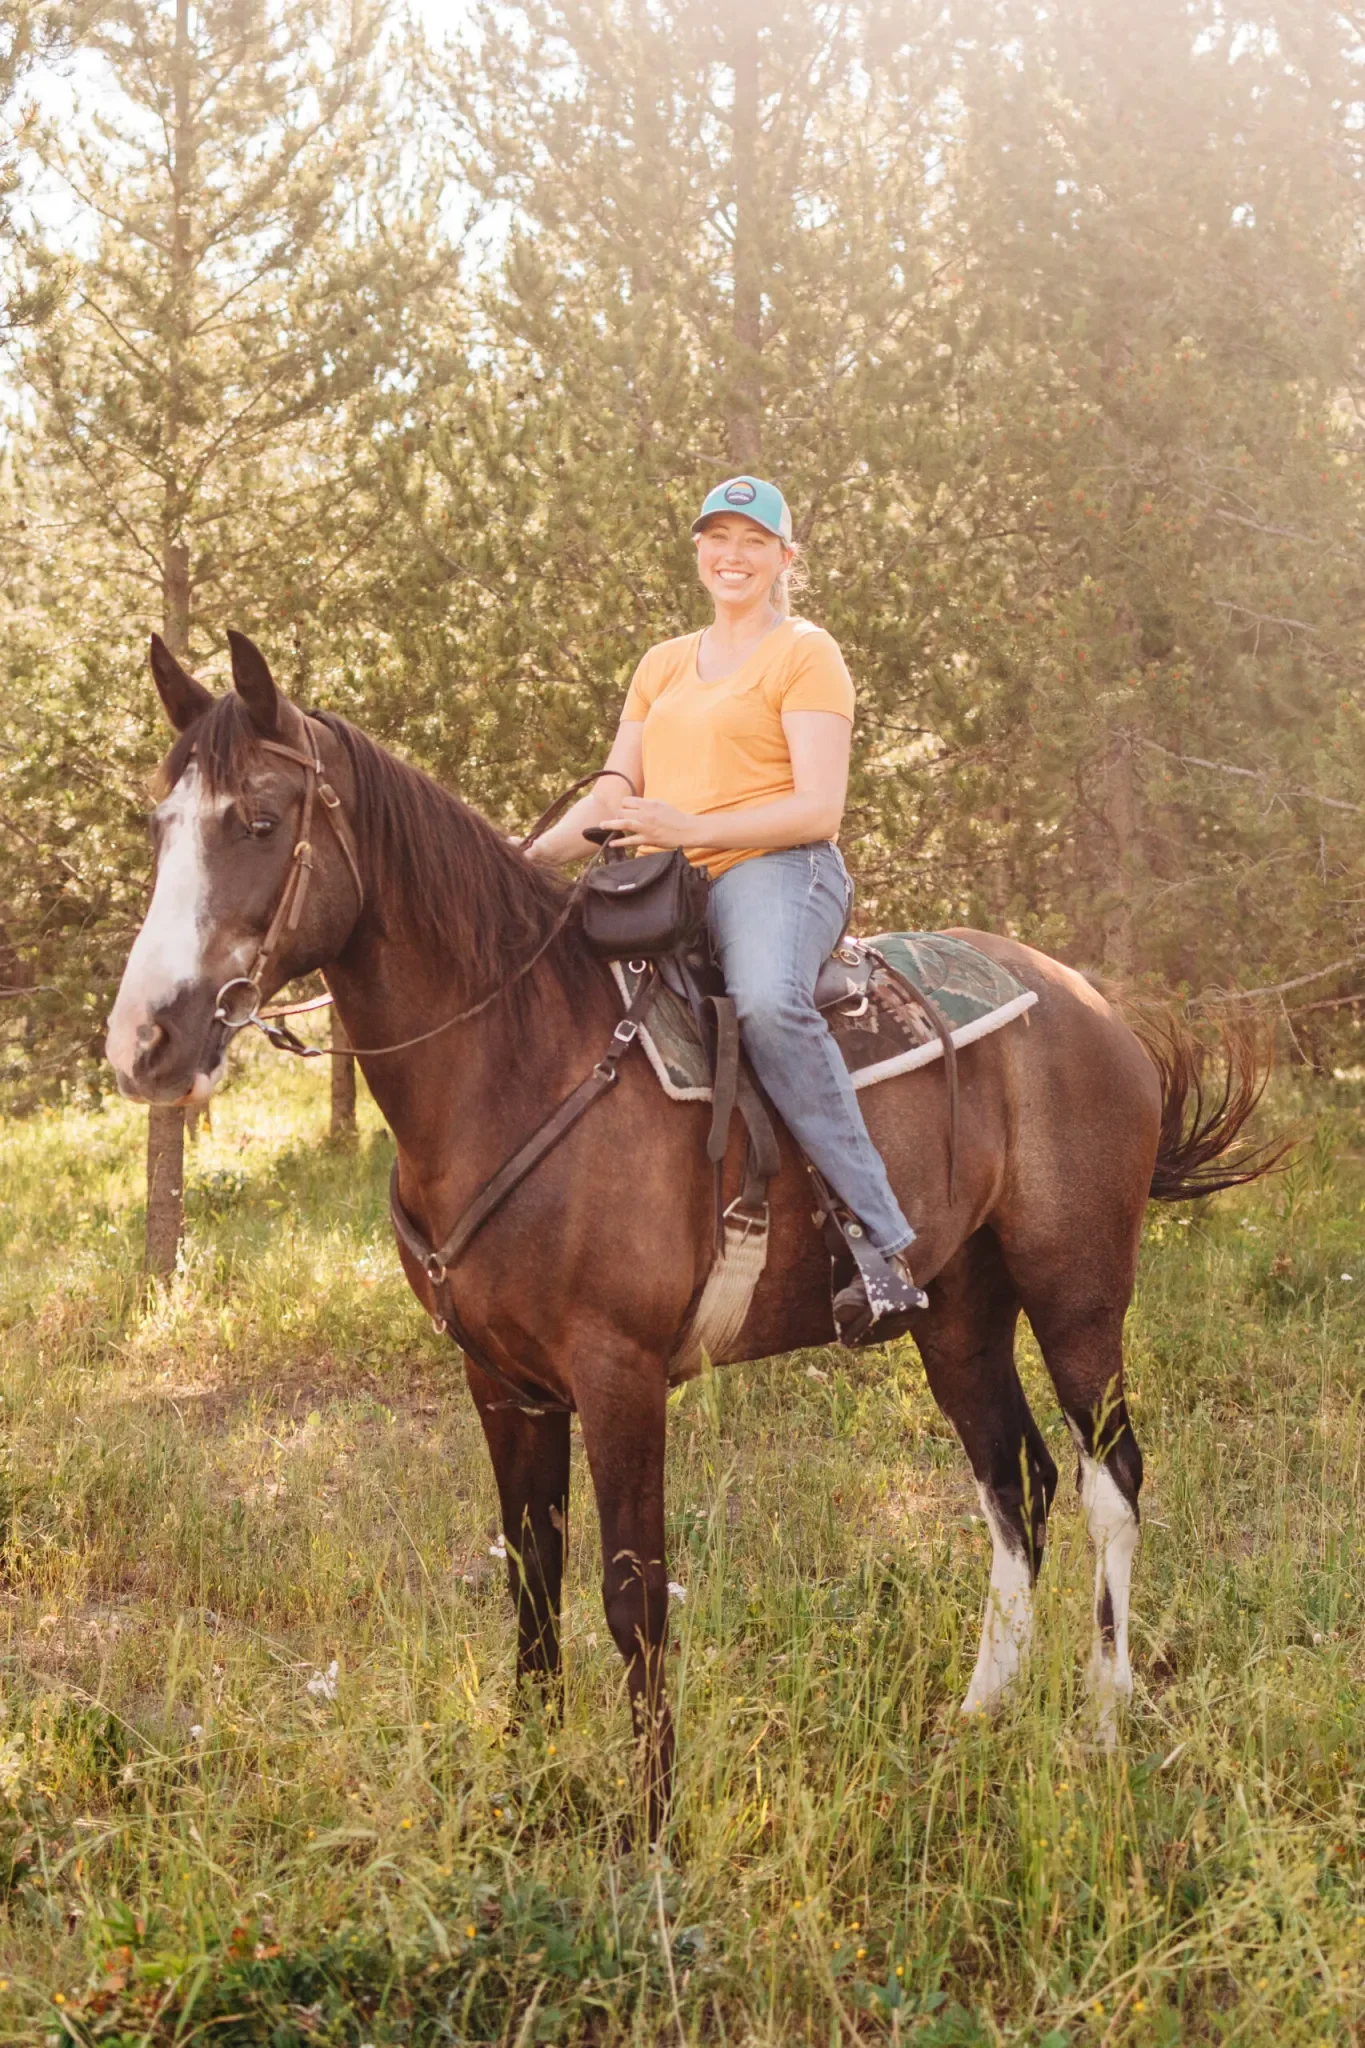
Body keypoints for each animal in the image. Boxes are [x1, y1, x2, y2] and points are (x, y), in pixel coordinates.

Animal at [106, 630, 1274, 1835]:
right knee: (1016, 1482)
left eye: (258, 818)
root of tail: (1091, 1002)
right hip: (956, 1310)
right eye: (157, 822)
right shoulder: (501, 1380)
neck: (517, 1062)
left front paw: (652, 1822)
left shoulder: (618, 1372)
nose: (144, 1042)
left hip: (1077, 1291)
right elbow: (532, 1576)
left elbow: (633, 1593)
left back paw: (1104, 1718)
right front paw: (528, 1781)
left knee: (1110, 1476)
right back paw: (979, 1713)